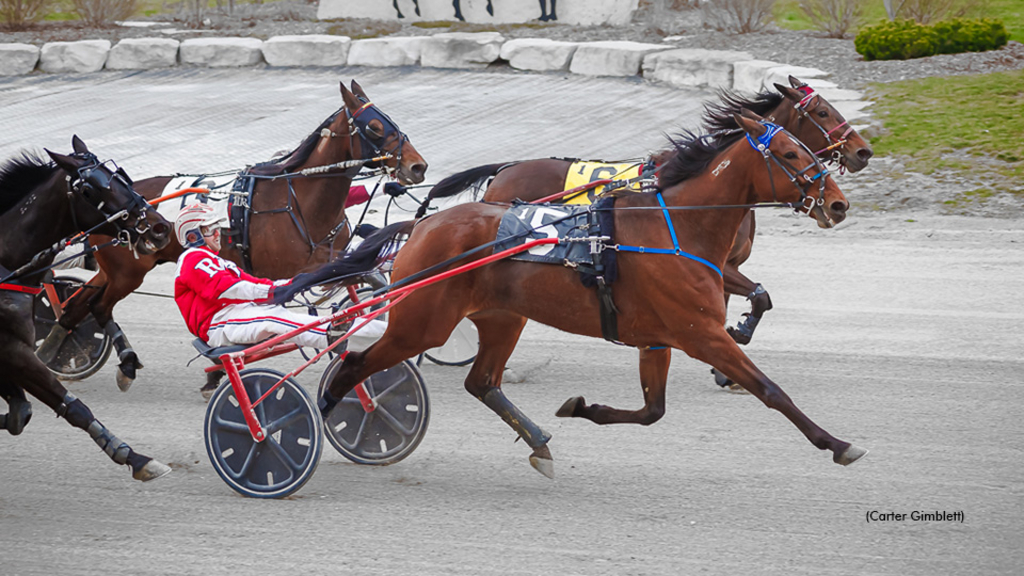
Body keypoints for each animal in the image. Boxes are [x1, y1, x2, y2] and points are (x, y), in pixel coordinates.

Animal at [0, 135, 172, 479]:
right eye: (92, 190)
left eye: (122, 176)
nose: (160, 227)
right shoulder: (12, 350)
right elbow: (69, 407)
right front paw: (134, 457)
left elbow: (20, 414)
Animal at [43, 79, 428, 389]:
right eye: (374, 126)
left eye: (389, 119)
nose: (418, 166)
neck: (299, 198)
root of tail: (115, 207)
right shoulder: (289, 269)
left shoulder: (332, 259)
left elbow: (363, 278)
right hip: (128, 273)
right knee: (98, 306)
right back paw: (117, 362)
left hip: (116, 271)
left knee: (77, 305)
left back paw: (54, 350)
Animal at [311, 111, 864, 475]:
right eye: (791, 153)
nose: (838, 204)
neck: (677, 228)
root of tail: (423, 227)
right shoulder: (700, 333)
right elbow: (770, 390)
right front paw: (836, 442)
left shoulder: (657, 338)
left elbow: (652, 411)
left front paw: (579, 407)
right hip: (422, 322)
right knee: (355, 364)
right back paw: (321, 419)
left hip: (502, 317)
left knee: (482, 382)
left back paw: (538, 441)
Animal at [413, 76, 872, 387]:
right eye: (823, 113)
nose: (863, 151)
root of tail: (505, 168)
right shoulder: (719, 265)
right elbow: (759, 296)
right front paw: (734, 341)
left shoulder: (713, 266)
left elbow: (736, 306)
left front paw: (725, 361)